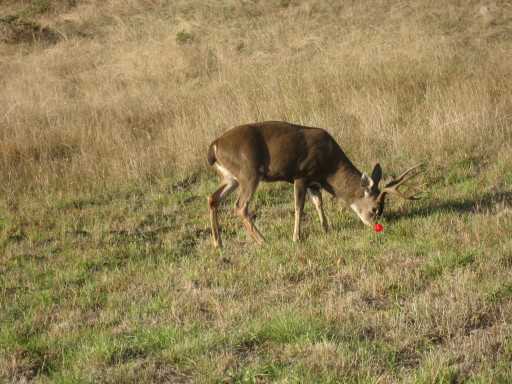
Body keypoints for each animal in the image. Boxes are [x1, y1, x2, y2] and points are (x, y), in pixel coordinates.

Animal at [206, 123, 422, 249]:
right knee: (240, 206)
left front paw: (325, 229)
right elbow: (299, 207)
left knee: (212, 198)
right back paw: (263, 240)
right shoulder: (301, 174)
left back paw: (218, 243)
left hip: (230, 177)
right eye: (375, 208)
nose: (376, 226)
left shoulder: (314, 182)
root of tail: (213, 147)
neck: (329, 167)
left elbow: (319, 203)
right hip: (249, 173)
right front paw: (296, 237)